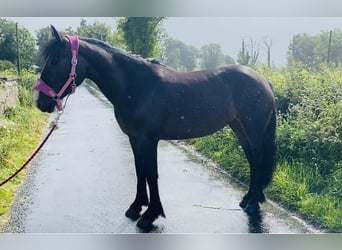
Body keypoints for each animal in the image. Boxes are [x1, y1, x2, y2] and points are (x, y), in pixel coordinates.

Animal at [33, 25, 276, 230]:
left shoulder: (148, 140)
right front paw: (136, 207)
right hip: (239, 128)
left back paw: (253, 203)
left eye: (54, 61)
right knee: (253, 160)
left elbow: (151, 173)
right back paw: (248, 199)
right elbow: (140, 170)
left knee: (259, 159)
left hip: (253, 130)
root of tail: (263, 80)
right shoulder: (134, 138)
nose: (41, 102)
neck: (136, 85)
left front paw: (150, 215)